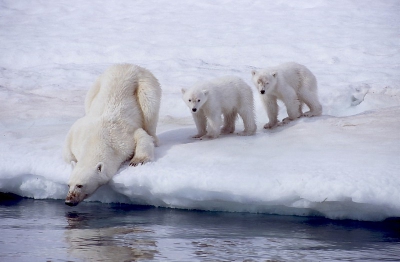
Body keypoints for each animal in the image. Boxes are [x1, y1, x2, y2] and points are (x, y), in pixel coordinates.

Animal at [64, 64, 161, 207]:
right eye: (69, 185)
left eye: (80, 185)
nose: (68, 201)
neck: (97, 139)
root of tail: (128, 66)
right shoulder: (78, 133)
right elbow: (67, 148)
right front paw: (72, 161)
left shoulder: (123, 138)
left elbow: (140, 136)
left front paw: (137, 161)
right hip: (97, 83)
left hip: (146, 83)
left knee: (149, 109)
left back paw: (154, 137)